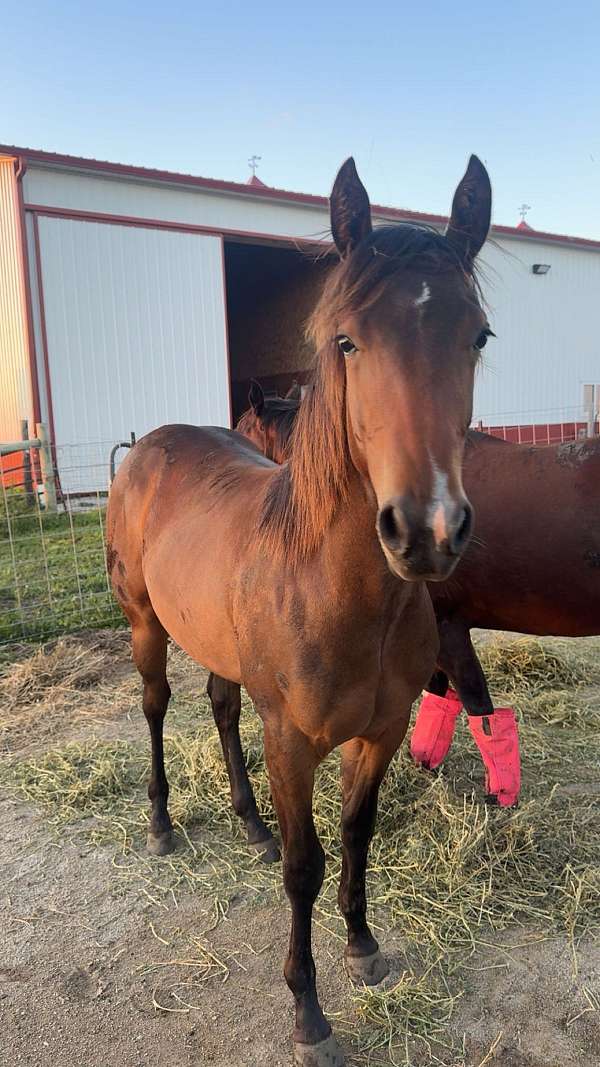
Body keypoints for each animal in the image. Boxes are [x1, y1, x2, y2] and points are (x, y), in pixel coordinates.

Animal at [107, 154, 491, 1066]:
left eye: (479, 336)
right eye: (347, 340)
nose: (426, 529)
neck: (340, 591)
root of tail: (148, 445)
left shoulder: (377, 733)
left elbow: (356, 833)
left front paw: (363, 945)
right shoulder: (292, 740)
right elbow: (304, 866)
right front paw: (309, 1012)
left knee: (219, 704)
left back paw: (247, 821)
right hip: (145, 625)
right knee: (156, 707)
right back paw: (163, 823)